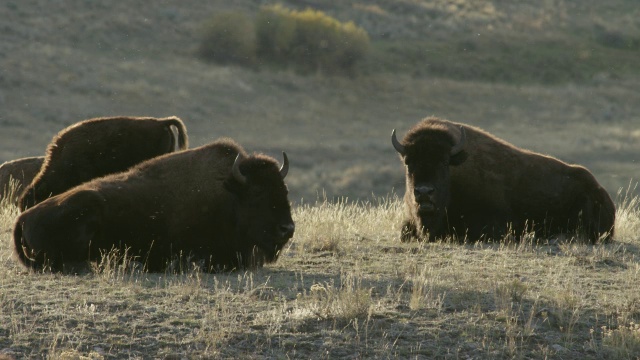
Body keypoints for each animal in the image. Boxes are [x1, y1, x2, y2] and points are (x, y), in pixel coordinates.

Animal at [14, 138, 296, 272]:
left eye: (284, 190)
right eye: (257, 192)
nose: (288, 229)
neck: (229, 195)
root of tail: (24, 218)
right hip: (87, 208)